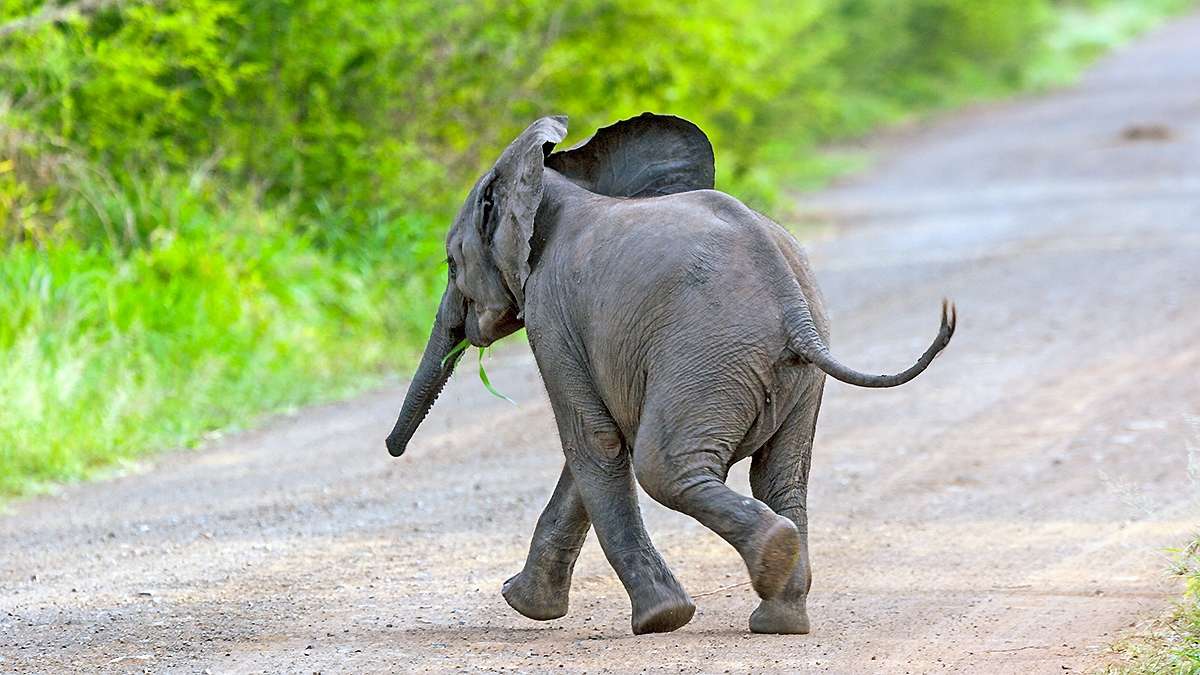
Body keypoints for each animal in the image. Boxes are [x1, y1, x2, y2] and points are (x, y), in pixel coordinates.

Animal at [385, 113, 955, 635]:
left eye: (450, 264)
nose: (392, 449)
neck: (553, 183)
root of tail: (792, 307)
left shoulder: (551, 314)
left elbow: (594, 443)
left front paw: (659, 620)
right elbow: (601, 445)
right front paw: (527, 604)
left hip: (709, 354)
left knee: (663, 467)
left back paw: (772, 559)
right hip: (790, 373)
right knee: (782, 475)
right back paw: (780, 619)